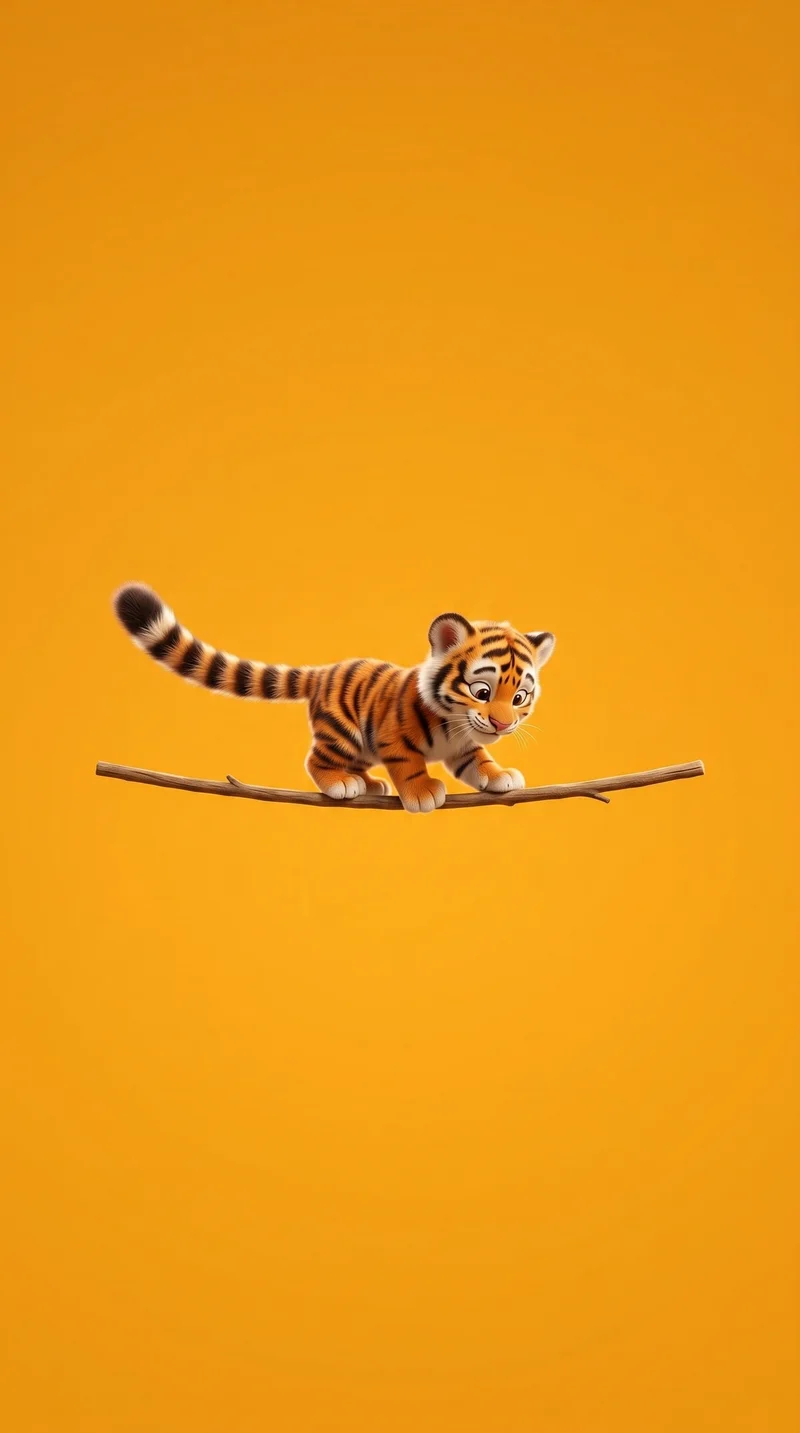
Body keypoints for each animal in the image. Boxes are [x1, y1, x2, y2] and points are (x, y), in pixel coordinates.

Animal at [113, 584, 556, 813]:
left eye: (520, 697)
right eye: (482, 692)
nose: (502, 724)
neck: (455, 722)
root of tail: (323, 671)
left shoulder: (465, 746)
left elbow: (480, 761)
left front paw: (500, 777)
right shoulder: (396, 738)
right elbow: (411, 766)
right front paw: (423, 794)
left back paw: (368, 784)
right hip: (343, 731)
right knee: (316, 760)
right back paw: (342, 784)